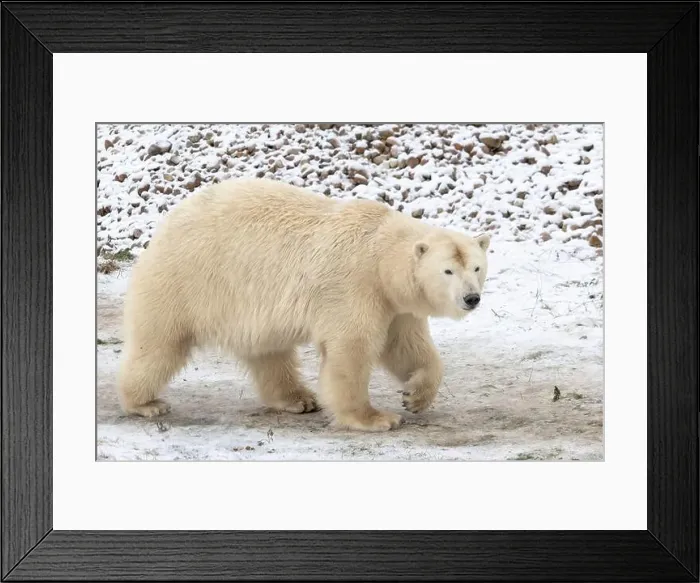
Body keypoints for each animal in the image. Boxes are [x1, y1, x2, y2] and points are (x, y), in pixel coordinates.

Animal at [116, 178, 490, 432]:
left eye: (476, 267)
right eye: (447, 270)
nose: (471, 298)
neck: (378, 252)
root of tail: (164, 226)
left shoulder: (396, 304)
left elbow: (406, 346)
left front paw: (415, 396)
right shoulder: (354, 285)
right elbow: (352, 349)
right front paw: (375, 418)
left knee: (268, 352)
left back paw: (298, 399)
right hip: (186, 281)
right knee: (160, 344)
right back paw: (145, 403)